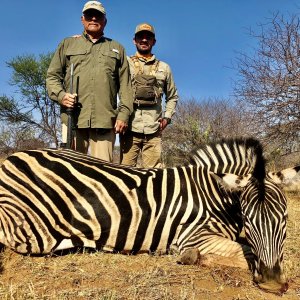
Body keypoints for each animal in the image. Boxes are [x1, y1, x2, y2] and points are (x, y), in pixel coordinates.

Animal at [0, 138, 298, 292]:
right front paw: (191, 258)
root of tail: (12, 158)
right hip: (31, 232)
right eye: (248, 219)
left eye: (284, 219)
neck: (216, 194)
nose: (273, 283)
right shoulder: (194, 236)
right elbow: (243, 251)